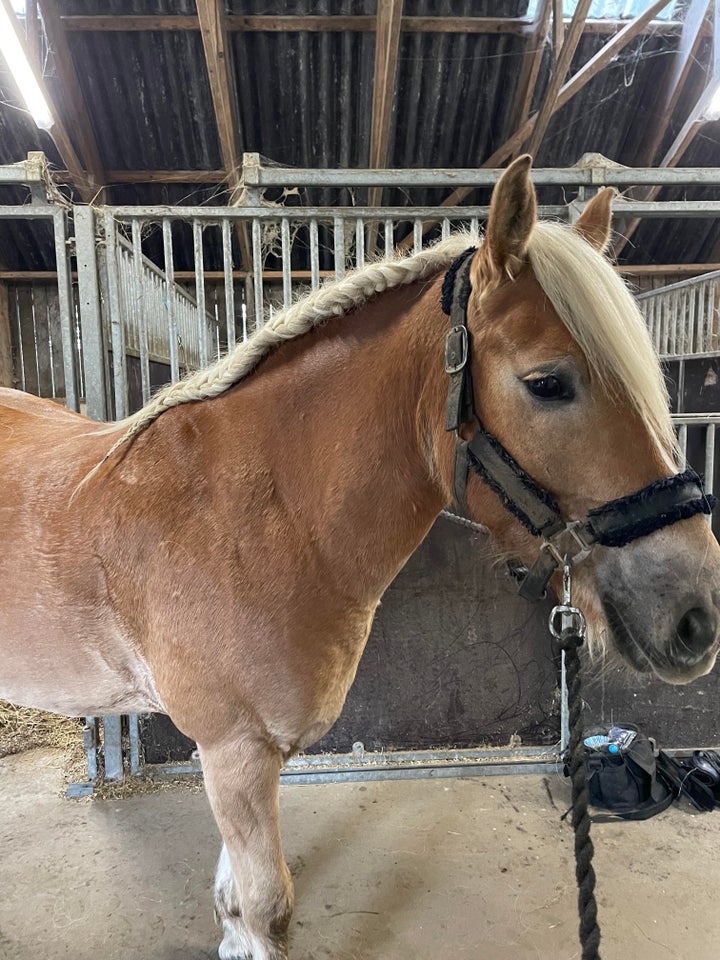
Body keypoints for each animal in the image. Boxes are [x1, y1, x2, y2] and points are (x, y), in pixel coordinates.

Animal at [1, 154, 720, 956]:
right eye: (547, 383)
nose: (695, 617)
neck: (257, 512)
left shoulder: (243, 760)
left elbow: (235, 901)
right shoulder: (233, 751)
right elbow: (265, 905)